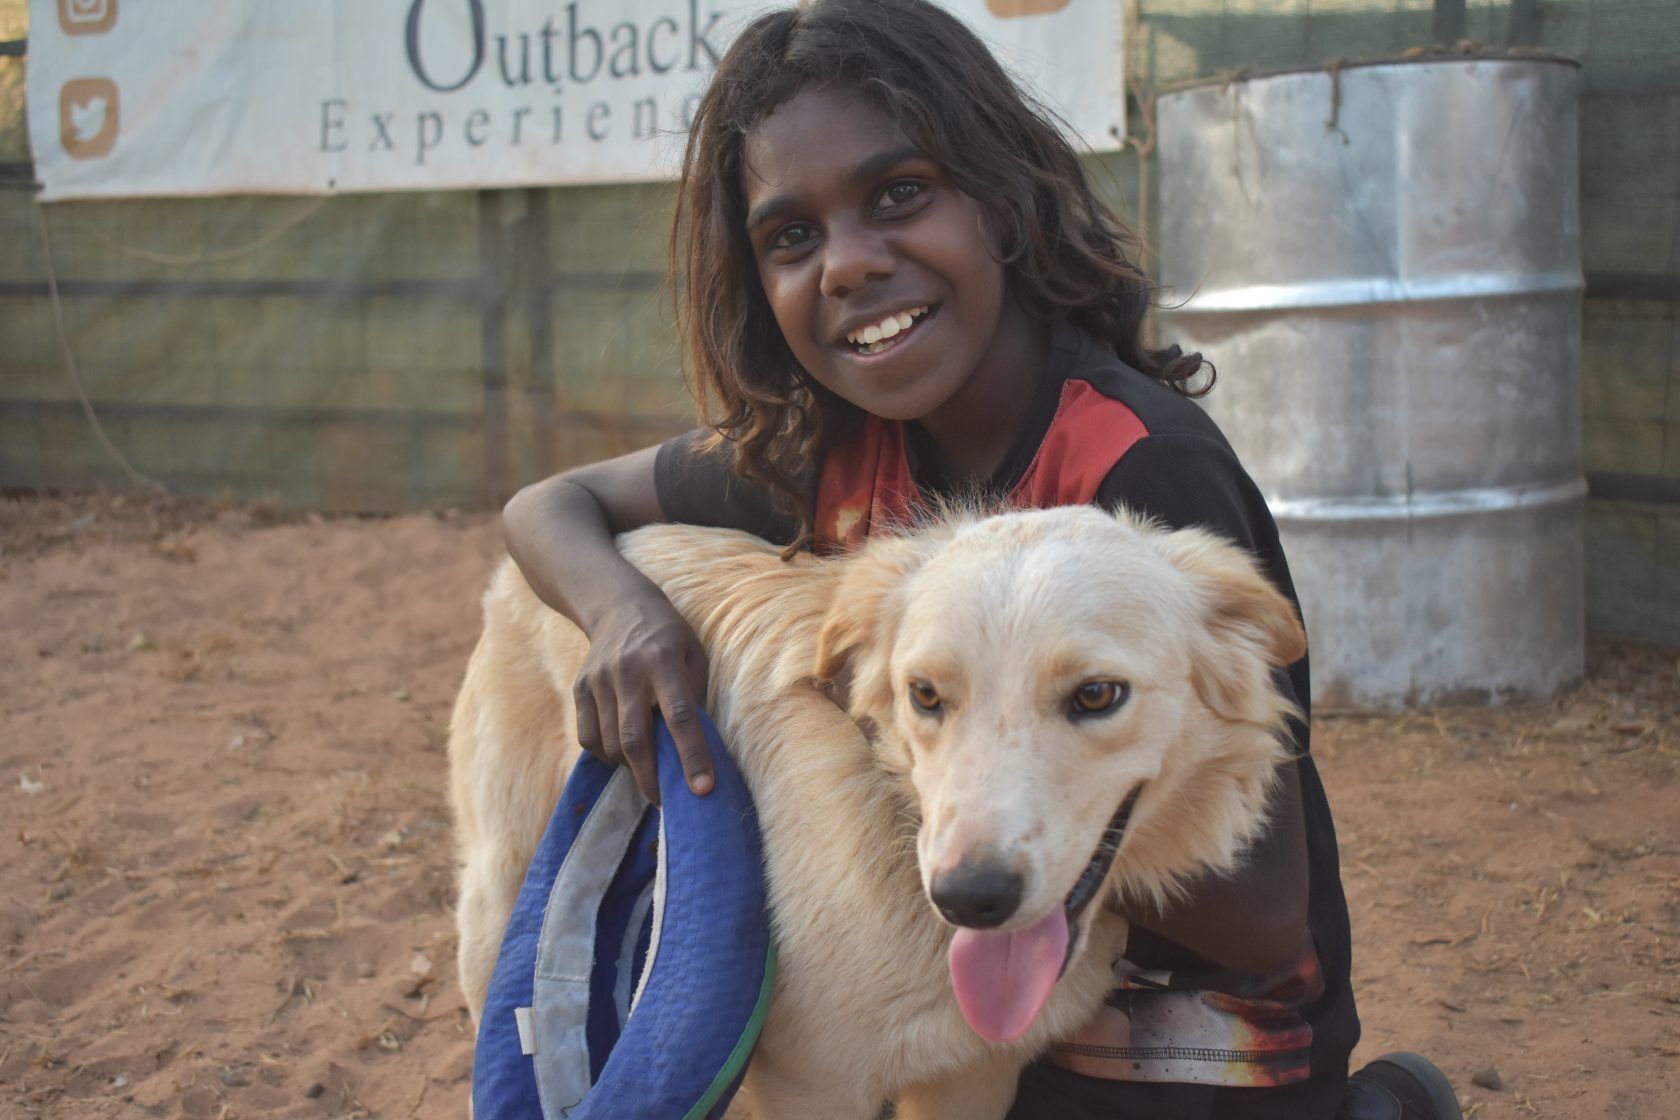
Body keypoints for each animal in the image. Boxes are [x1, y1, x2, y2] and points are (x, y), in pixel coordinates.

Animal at [453, 507, 1303, 1120]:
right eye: (924, 695)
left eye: (1097, 695)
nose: (970, 898)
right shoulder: (810, 1086)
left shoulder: (977, 1073)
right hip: (496, 907)